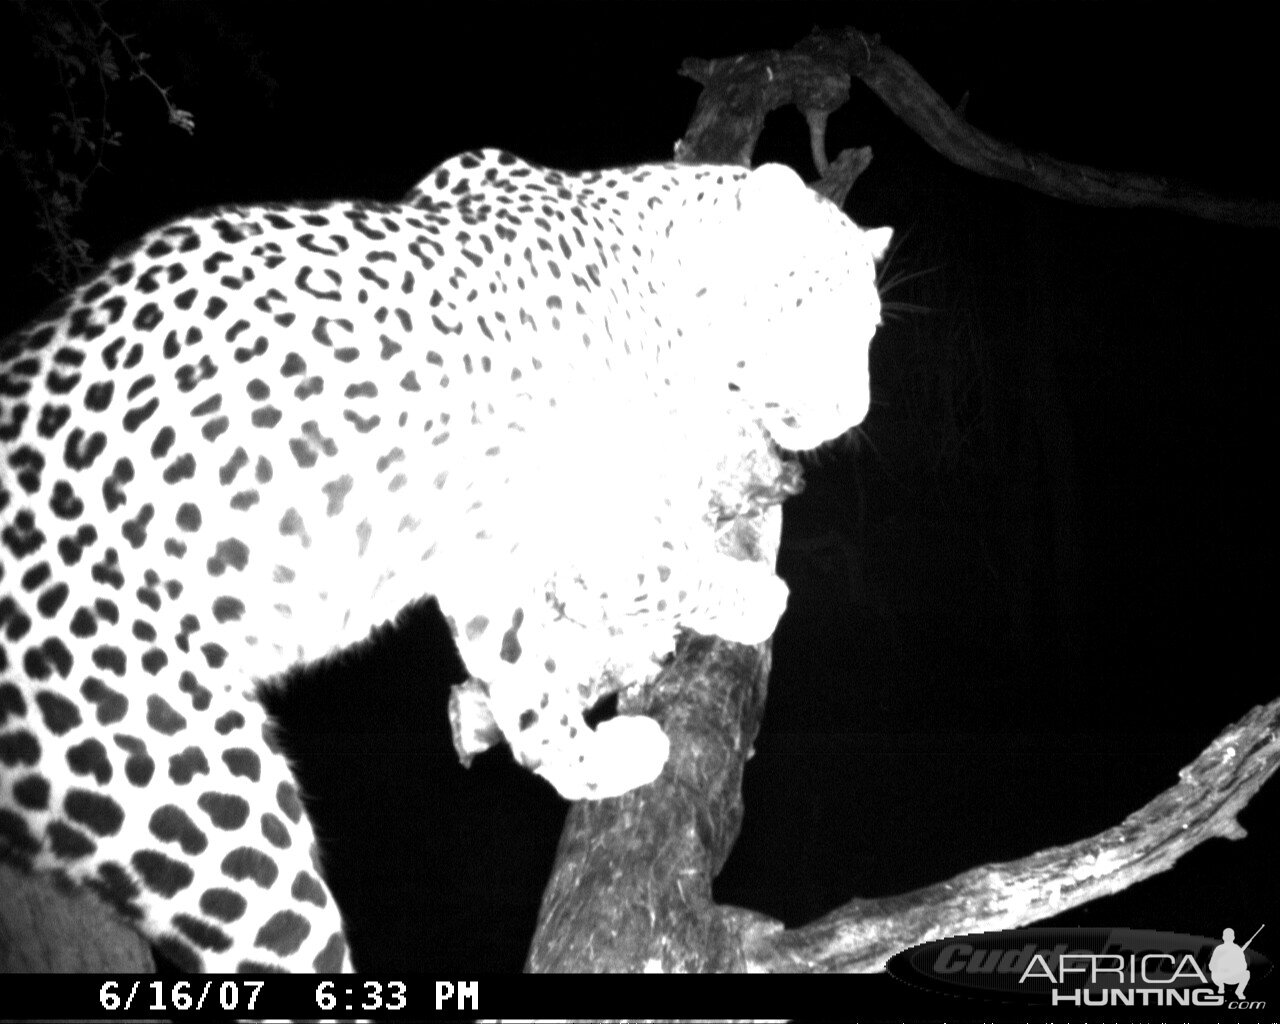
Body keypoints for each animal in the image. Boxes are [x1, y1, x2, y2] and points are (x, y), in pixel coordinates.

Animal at [0, 147, 896, 972]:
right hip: (201, 798)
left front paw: (582, 759)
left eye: (872, 335)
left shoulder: (486, 541)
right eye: (822, 323)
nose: (857, 412)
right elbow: (652, 564)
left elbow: (524, 674)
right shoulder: (578, 501)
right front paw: (748, 595)